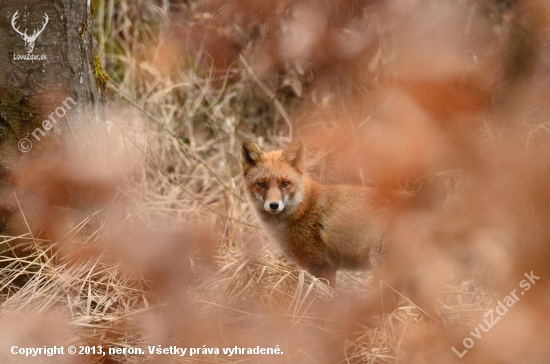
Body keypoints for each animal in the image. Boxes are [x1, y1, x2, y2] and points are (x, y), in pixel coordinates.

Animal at [242, 138, 444, 320]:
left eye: (285, 184)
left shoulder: (321, 266)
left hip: (384, 271)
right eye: (261, 185)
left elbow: (325, 299)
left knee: (388, 304)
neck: (302, 207)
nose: (273, 205)